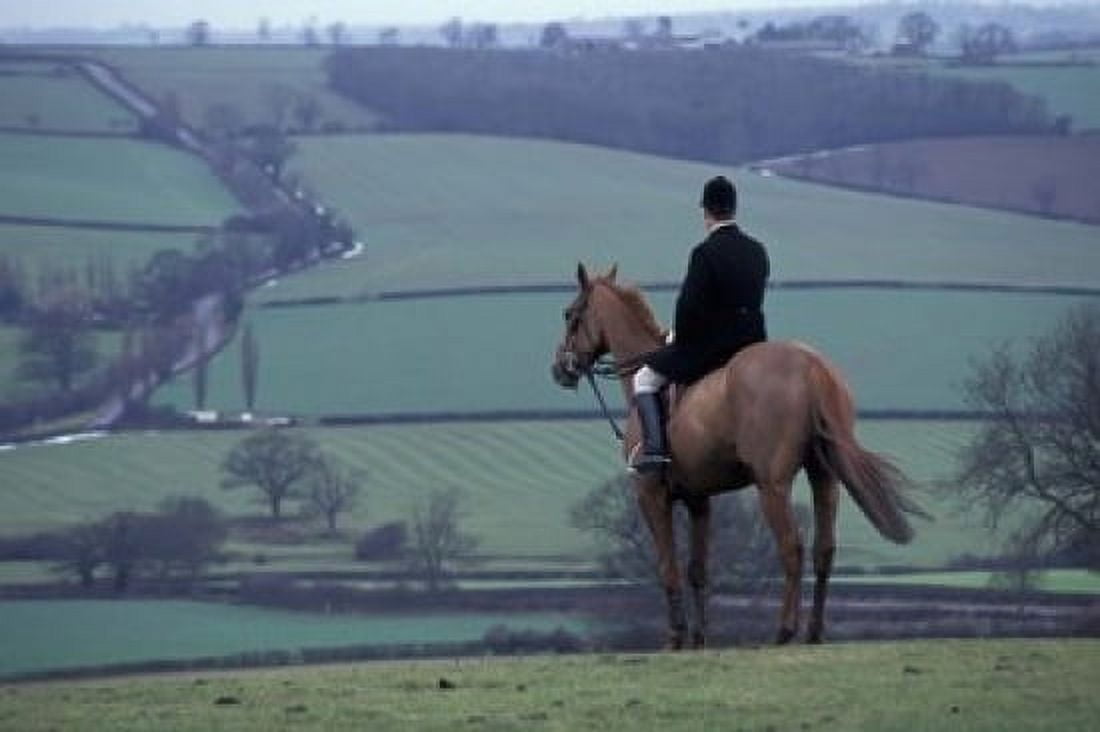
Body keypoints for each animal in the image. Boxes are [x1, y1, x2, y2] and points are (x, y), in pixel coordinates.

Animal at [551, 263, 924, 648]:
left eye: (570, 314)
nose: (560, 368)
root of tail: (811, 365)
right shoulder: (699, 500)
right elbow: (697, 571)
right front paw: (699, 639)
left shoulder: (650, 494)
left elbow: (668, 567)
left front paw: (675, 638)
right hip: (824, 477)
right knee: (824, 549)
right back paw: (814, 633)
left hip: (771, 485)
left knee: (791, 548)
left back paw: (784, 631)